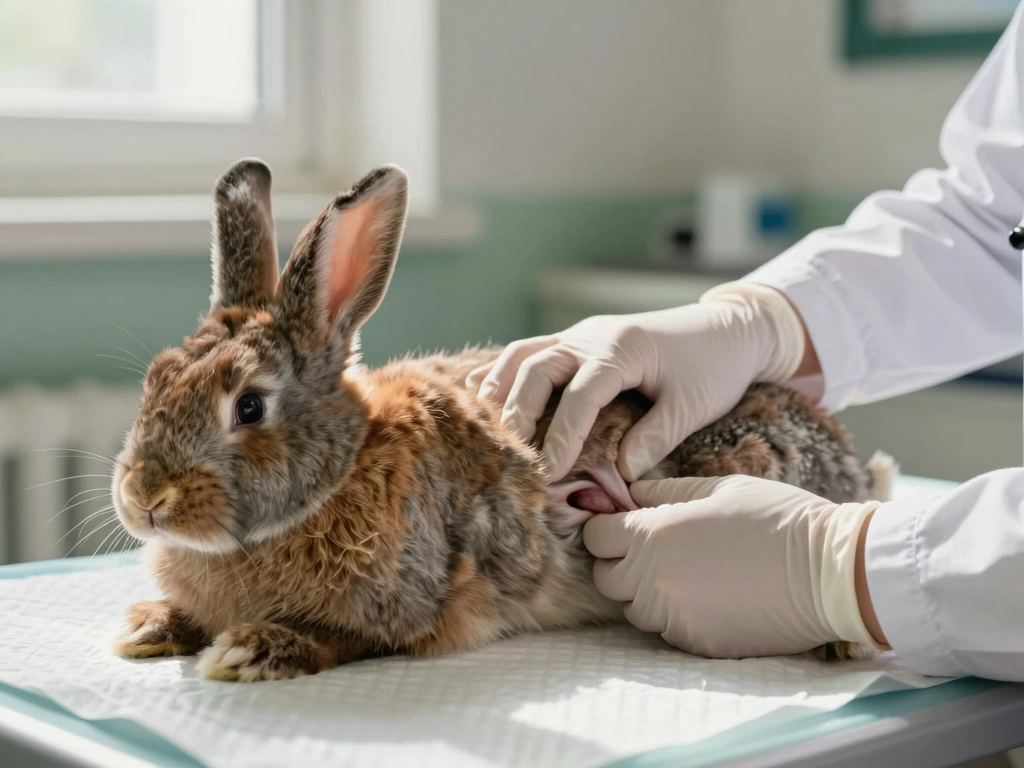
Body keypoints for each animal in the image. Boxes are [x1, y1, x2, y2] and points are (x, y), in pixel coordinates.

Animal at [111, 159, 893, 682]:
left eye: (248, 405)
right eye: (154, 380)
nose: (145, 499)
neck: (340, 471)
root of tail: (858, 465)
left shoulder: (411, 605)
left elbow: (349, 637)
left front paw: (254, 649)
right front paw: (150, 628)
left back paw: (839, 637)